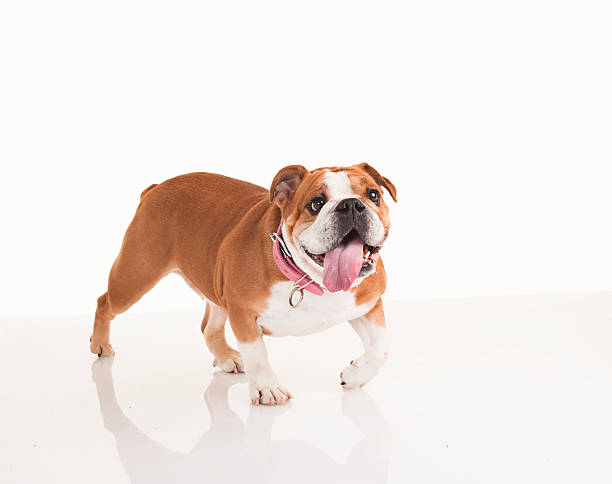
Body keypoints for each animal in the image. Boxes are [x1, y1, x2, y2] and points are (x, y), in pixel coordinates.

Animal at [89, 163, 396, 404]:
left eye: (373, 195)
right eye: (316, 203)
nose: (351, 204)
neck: (310, 279)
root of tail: (154, 188)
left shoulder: (369, 305)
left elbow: (381, 347)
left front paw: (355, 376)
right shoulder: (242, 312)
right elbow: (257, 352)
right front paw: (267, 388)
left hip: (214, 285)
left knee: (209, 327)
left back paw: (226, 357)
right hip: (135, 275)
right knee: (104, 302)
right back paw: (100, 345)